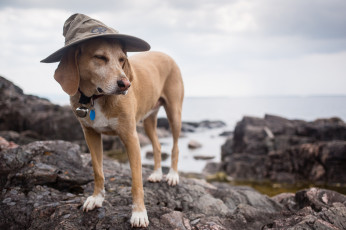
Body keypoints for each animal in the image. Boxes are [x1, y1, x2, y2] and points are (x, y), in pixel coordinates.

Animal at [52, 36, 184, 227]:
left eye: (122, 59)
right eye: (100, 57)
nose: (126, 84)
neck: (96, 98)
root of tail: (166, 55)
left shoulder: (130, 137)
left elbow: (136, 182)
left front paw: (139, 213)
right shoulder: (90, 134)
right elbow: (98, 171)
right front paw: (96, 198)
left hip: (174, 114)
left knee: (175, 146)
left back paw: (172, 175)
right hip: (148, 121)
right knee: (158, 146)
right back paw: (157, 173)